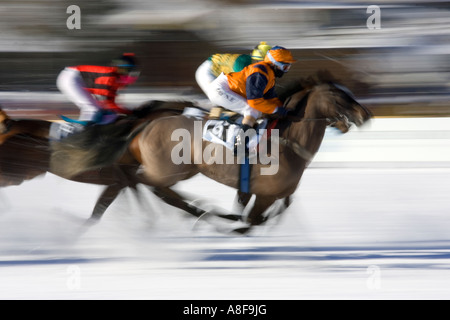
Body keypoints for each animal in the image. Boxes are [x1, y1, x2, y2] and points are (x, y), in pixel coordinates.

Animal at [49, 77, 372, 232]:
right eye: (339, 95)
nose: (365, 114)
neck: (287, 140)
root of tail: (145, 124)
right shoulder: (265, 193)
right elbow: (252, 221)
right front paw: (230, 225)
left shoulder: (273, 193)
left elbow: (266, 212)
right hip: (169, 169)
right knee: (148, 185)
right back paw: (198, 212)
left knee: (144, 187)